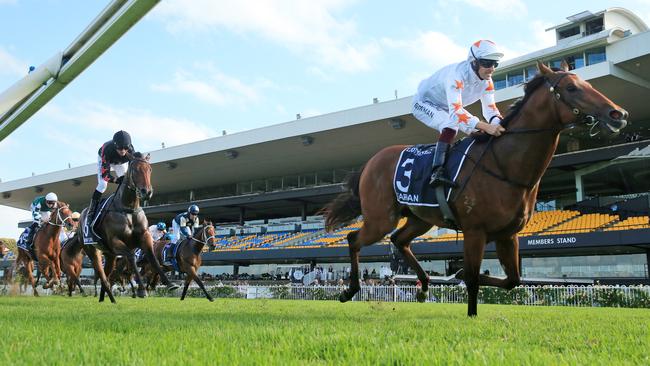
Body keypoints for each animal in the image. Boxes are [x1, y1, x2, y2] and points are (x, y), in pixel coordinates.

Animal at [77, 152, 178, 304]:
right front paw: (141, 290)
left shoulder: (144, 237)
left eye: (150, 169)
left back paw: (107, 299)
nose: (146, 192)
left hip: (110, 255)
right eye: (135, 170)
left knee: (108, 275)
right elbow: (131, 258)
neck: (128, 208)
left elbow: (152, 257)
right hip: (93, 250)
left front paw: (170, 284)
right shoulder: (116, 242)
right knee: (102, 275)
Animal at [322, 61, 624, 316]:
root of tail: (370, 161)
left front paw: (454, 278)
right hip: (381, 218)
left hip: (420, 218)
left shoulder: (508, 235)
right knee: (354, 239)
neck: (505, 165)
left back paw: (423, 286)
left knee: (399, 240)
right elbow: (472, 275)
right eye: (572, 88)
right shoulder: (475, 231)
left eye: (588, 84)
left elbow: (511, 280)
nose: (618, 113)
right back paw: (350, 290)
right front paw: (470, 310)